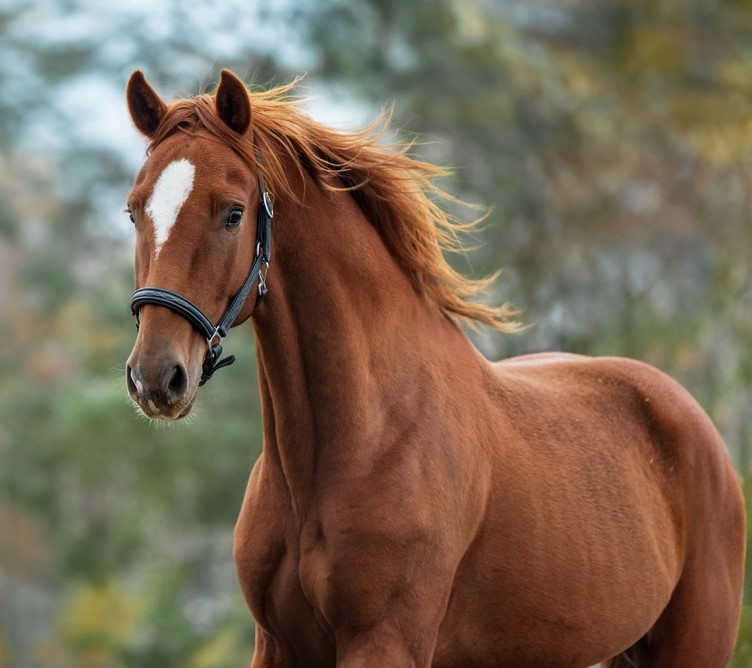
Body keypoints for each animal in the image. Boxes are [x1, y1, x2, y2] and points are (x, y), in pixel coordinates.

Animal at [123, 68, 745, 667]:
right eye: (133, 212)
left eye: (233, 213)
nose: (156, 377)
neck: (358, 440)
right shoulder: (278, 646)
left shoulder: (385, 642)